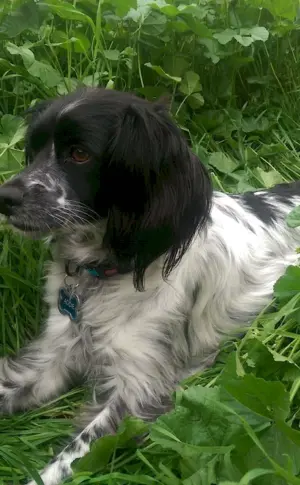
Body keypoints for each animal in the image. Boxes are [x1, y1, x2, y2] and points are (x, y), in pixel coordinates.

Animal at [0, 88, 300, 484]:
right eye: (33, 150)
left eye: (79, 153)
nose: (5, 197)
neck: (108, 273)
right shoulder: (52, 356)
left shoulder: (139, 389)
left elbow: (69, 456)